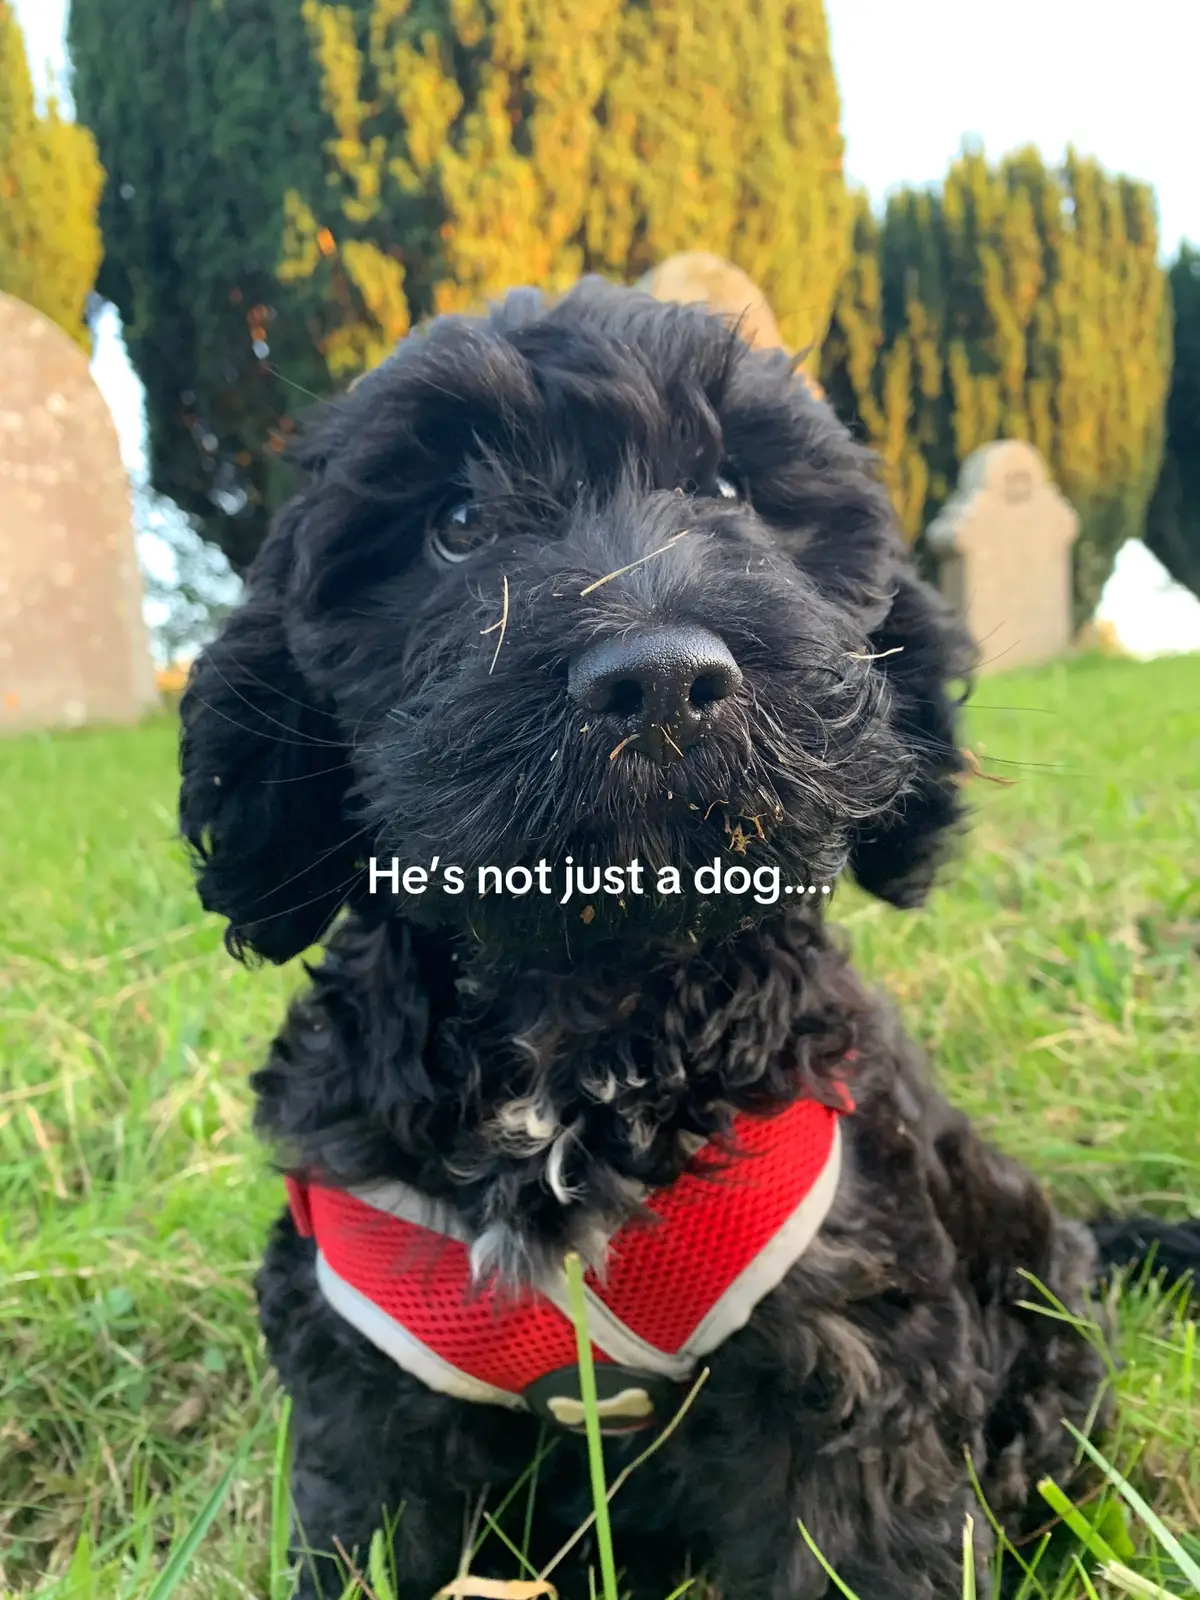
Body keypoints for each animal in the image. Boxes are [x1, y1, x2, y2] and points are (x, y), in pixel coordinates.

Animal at [176, 281, 1196, 1593]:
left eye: (730, 491)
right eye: (455, 523)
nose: (659, 679)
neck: (590, 1021)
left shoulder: (854, 1361)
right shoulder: (371, 1383)